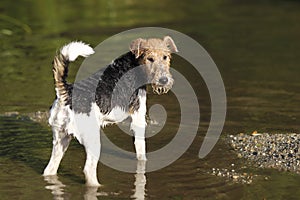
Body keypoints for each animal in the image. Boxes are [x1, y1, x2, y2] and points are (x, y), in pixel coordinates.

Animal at [43, 36, 177, 186]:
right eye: (150, 58)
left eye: (165, 57)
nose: (164, 80)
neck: (134, 64)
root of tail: (66, 93)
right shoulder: (138, 117)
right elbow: (141, 152)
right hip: (92, 139)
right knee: (88, 169)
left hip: (61, 138)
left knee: (50, 169)